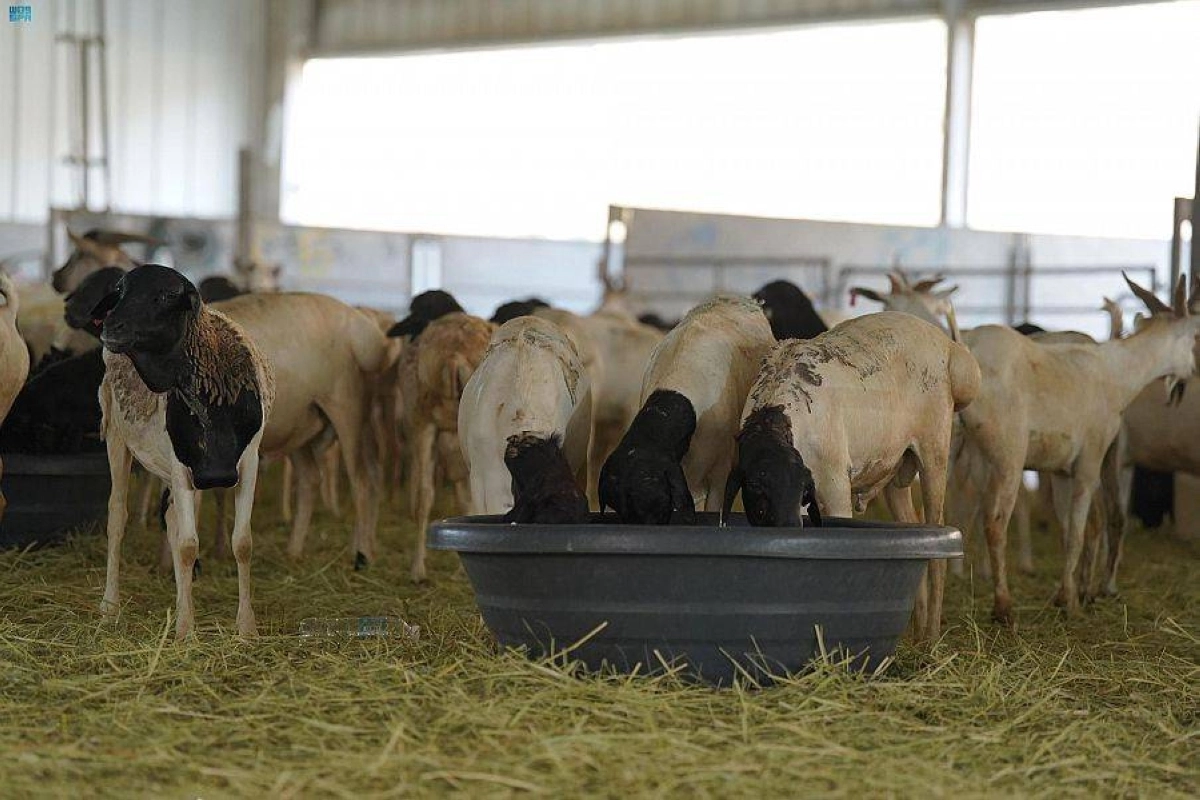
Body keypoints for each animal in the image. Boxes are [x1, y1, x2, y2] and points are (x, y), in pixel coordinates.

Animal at [96, 265, 274, 638]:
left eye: (165, 295)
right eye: (119, 290)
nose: (110, 327)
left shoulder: (248, 462)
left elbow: (242, 543)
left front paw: (246, 629)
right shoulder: (180, 468)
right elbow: (189, 546)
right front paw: (186, 632)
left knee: (172, 521)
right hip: (117, 436)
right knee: (117, 517)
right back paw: (109, 608)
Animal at [722, 311, 980, 640]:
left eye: (801, 489)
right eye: (755, 486)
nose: (790, 529)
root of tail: (949, 347)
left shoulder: (834, 488)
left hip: (934, 447)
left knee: (937, 542)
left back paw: (931, 638)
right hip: (895, 465)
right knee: (914, 528)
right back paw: (916, 633)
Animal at [953, 276, 1199, 622]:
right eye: (1192, 336)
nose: (1190, 371)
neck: (1115, 372)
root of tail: (967, 345)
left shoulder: (1060, 470)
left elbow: (1067, 527)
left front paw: (1070, 592)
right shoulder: (1090, 460)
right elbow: (1079, 531)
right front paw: (1068, 601)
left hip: (965, 449)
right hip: (1008, 454)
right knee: (995, 521)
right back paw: (1004, 607)